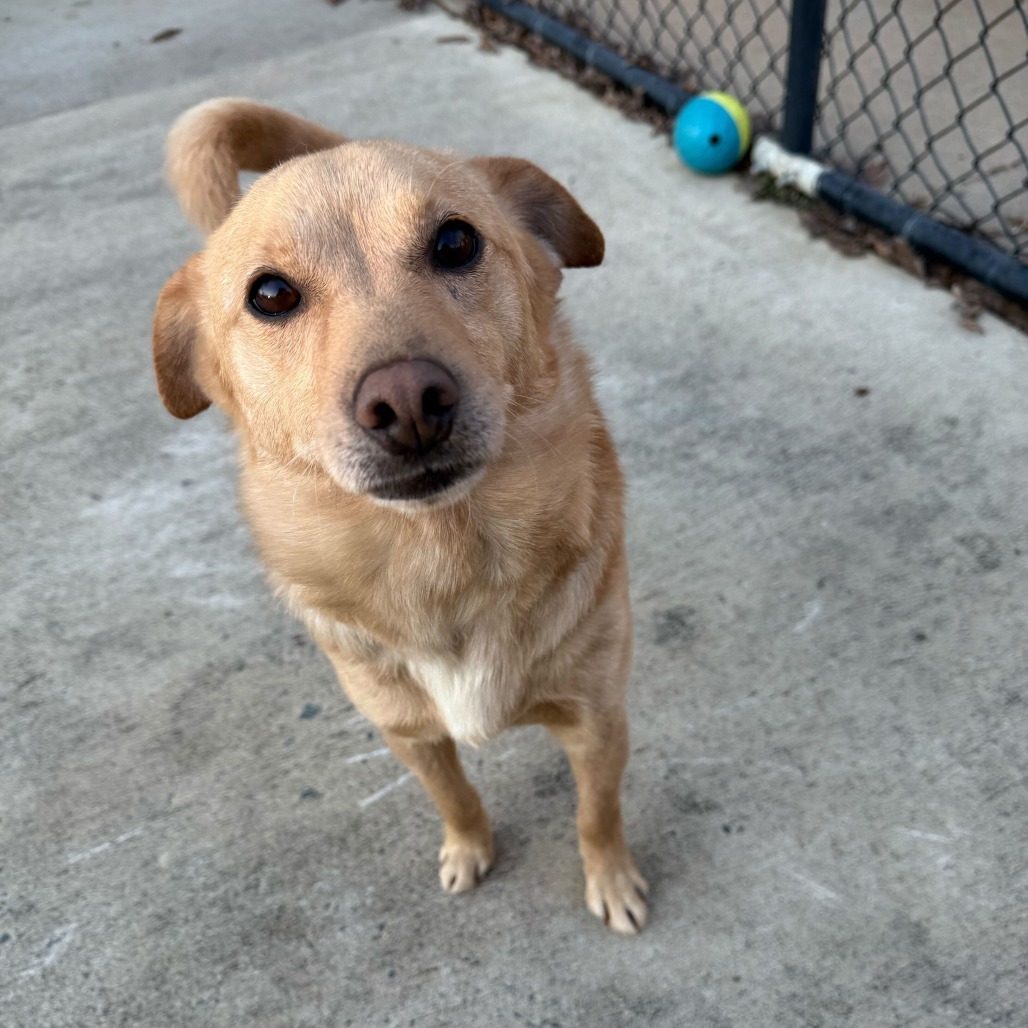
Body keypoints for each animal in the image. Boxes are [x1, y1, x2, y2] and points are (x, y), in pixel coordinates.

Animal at [150, 100, 649, 937]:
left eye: (455, 241)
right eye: (270, 295)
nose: (408, 400)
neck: (444, 556)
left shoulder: (599, 721)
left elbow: (597, 813)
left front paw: (610, 878)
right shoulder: (407, 734)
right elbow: (455, 796)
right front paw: (470, 847)